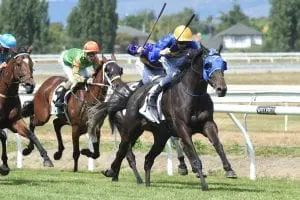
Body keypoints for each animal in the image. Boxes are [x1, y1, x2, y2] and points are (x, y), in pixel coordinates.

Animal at [102, 45, 237, 191]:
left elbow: (217, 144)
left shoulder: (208, 123)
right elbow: (192, 153)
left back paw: (146, 182)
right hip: (130, 129)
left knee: (148, 158)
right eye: (207, 65)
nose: (222, 89)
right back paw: (112, 172)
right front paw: (203, 183)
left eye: (224, 64)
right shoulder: (182, 127)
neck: (193, 96)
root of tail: (133, 95)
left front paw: (229, 170)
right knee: (123, 149)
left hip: (160, 136)